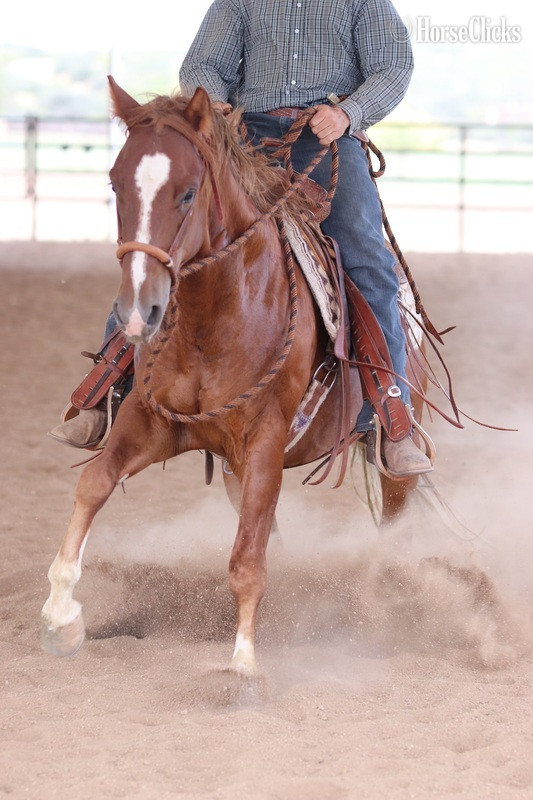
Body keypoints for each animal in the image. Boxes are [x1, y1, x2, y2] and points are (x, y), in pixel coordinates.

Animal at [41, 78, 428, 675]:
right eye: (114, 185)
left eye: (187, 192)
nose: (139, 311)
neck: (214, 317)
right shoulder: (152, 421)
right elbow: (94, 484)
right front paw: (61, 616)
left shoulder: (265, 435)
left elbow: (246, 559)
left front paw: (243, 665)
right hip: (231, 465)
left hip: (390, 451)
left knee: (393, 517)